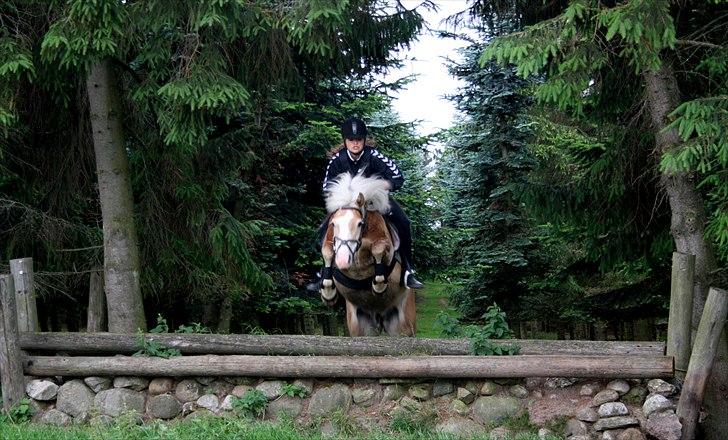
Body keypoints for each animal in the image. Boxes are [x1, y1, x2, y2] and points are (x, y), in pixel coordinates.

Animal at [318, 174, 416, 336]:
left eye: (359, 223)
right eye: (333, 224)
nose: (343, 260)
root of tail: (379, 314)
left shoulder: (385, 247)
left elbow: (378, 249)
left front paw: (378, 285)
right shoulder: (329, 242)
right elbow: (327, 253)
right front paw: (327, 291)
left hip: (403, 325)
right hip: (361, 325)